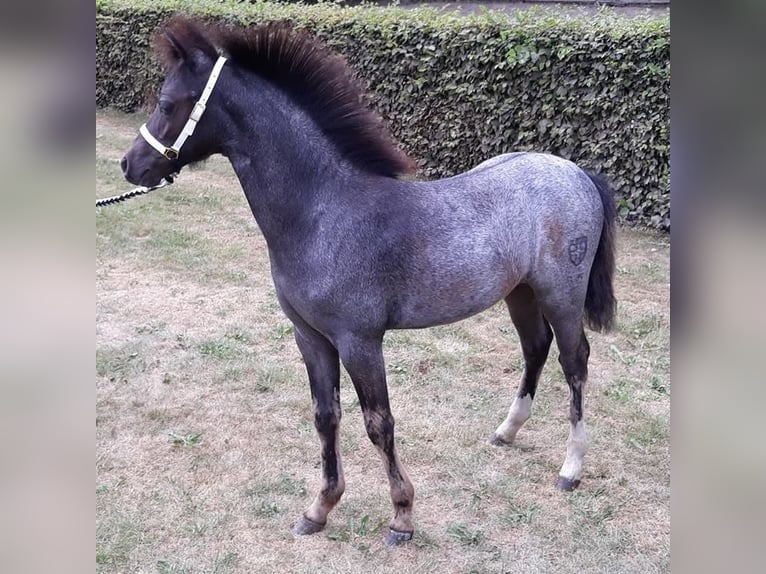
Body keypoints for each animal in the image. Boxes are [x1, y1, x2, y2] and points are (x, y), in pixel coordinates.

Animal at [123, 15, 620, 548]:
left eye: (168, 103)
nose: (130, 165)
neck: (322, 212)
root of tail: (578, 173)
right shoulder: (311, 337)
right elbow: (326, 417)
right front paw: (319, 509)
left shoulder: (360, 341)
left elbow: (379, 423)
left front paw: (402, 517)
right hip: (520, 293)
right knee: (535, 347)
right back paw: (506, 431)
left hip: (560, 294)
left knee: (574, 360)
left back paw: (571, 468)